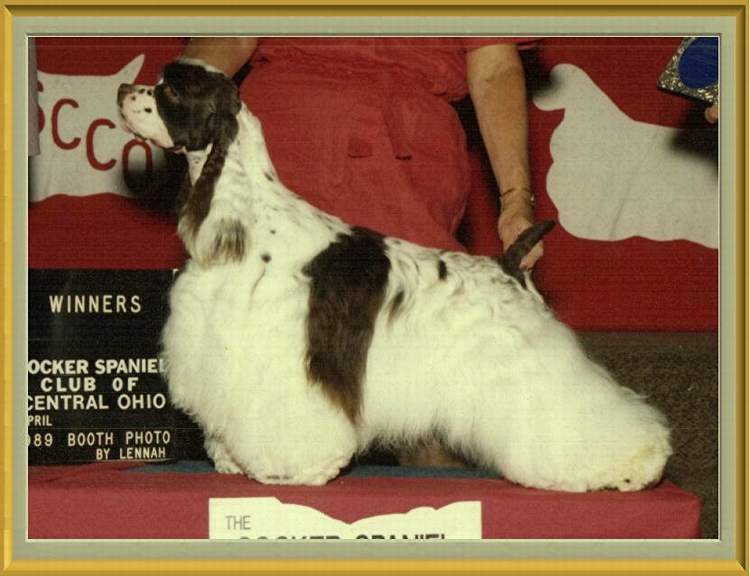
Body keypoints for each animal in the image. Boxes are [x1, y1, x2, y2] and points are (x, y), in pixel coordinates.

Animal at [117, 59, 672, 491]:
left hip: (529, 366)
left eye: (170, 89)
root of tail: (509, 265)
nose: (124, 90)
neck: (247, 217)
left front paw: (290, 469)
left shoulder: (286, 358)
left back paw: (633, 465)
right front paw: (232, 460)